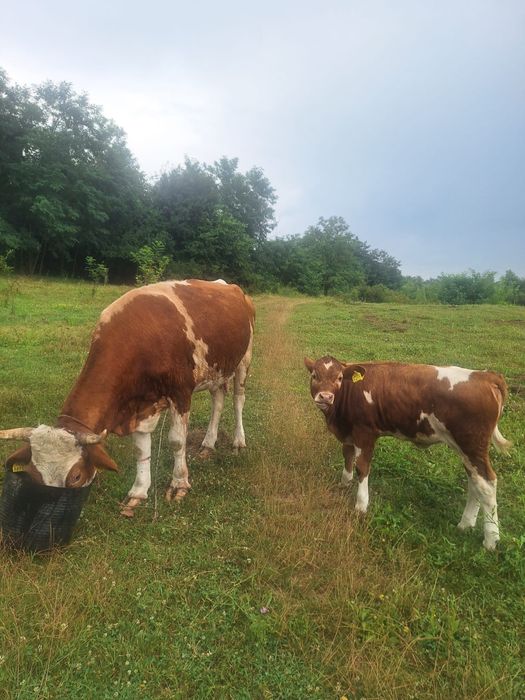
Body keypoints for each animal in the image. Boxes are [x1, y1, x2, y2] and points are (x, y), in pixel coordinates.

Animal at [0, 279, 255, 517]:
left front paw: (179, 484)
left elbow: (177, 441)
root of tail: (230, 286)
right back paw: (207, 445)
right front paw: (138, 492)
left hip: (244, 359)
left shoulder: (180, 392)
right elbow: (141, 450)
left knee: (238, 400)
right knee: (218, 401)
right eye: (33, 474)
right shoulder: (139, 407)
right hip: (217, 369)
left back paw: (238, 441)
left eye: (76, 476)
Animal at [304, 355, 512, 550]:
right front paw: (344, 483)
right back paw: (465, 524)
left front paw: (361, 506)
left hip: (473, 445)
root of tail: (486, 376)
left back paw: (491, 540)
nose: (325, 397)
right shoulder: (347, 430)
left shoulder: (365, 432)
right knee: (474, 481)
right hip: (466, 449)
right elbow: (347, 455)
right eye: (314, 376)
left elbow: (362, 468)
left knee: (486, 485)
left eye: (339, 377)